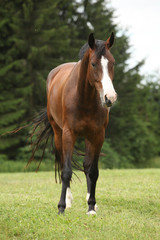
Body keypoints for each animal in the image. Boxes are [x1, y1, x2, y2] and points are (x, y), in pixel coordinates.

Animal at [45, 32, 117, 216]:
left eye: (112, 63)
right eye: (93, 64)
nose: (110, 98)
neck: (84, 98)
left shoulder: (98, 135)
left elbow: (93, 171)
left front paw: (91, 206)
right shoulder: (69, 134)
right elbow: (66, 171)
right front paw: (61, 207)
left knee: (86, 166)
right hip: (58, 133)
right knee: (63, 162)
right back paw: (68, 200)